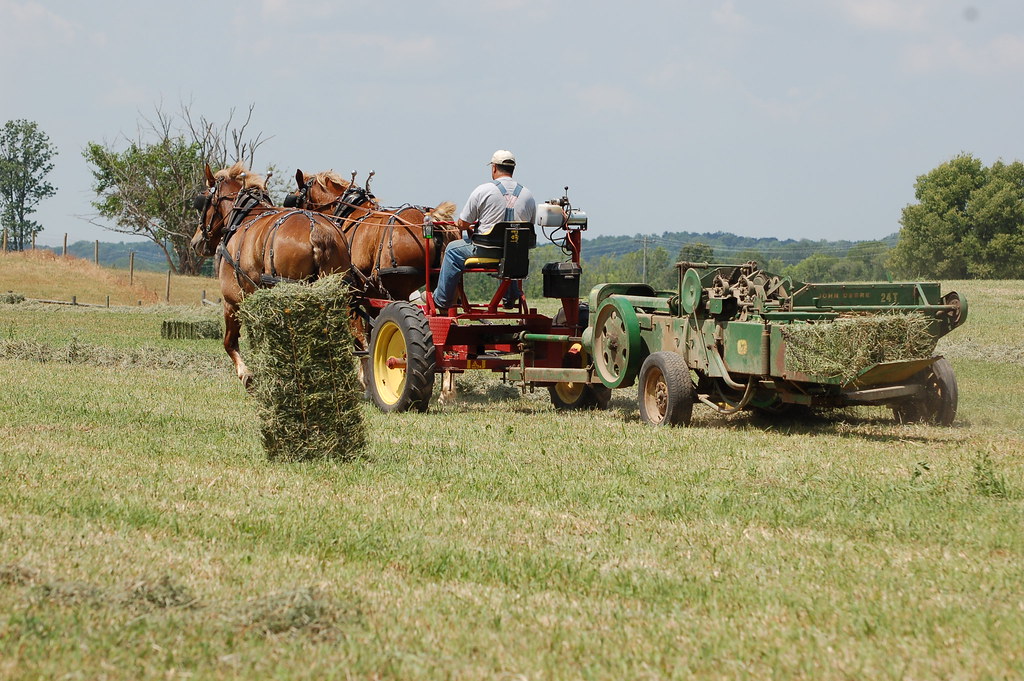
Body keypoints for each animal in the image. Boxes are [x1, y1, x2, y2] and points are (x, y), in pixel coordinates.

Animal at [190, 159, 354, 382]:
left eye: (202, 200)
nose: (195, 242)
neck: (243, 217)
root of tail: (318, 230)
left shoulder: (232, 301)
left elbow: (231, 343)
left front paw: (246, 375)